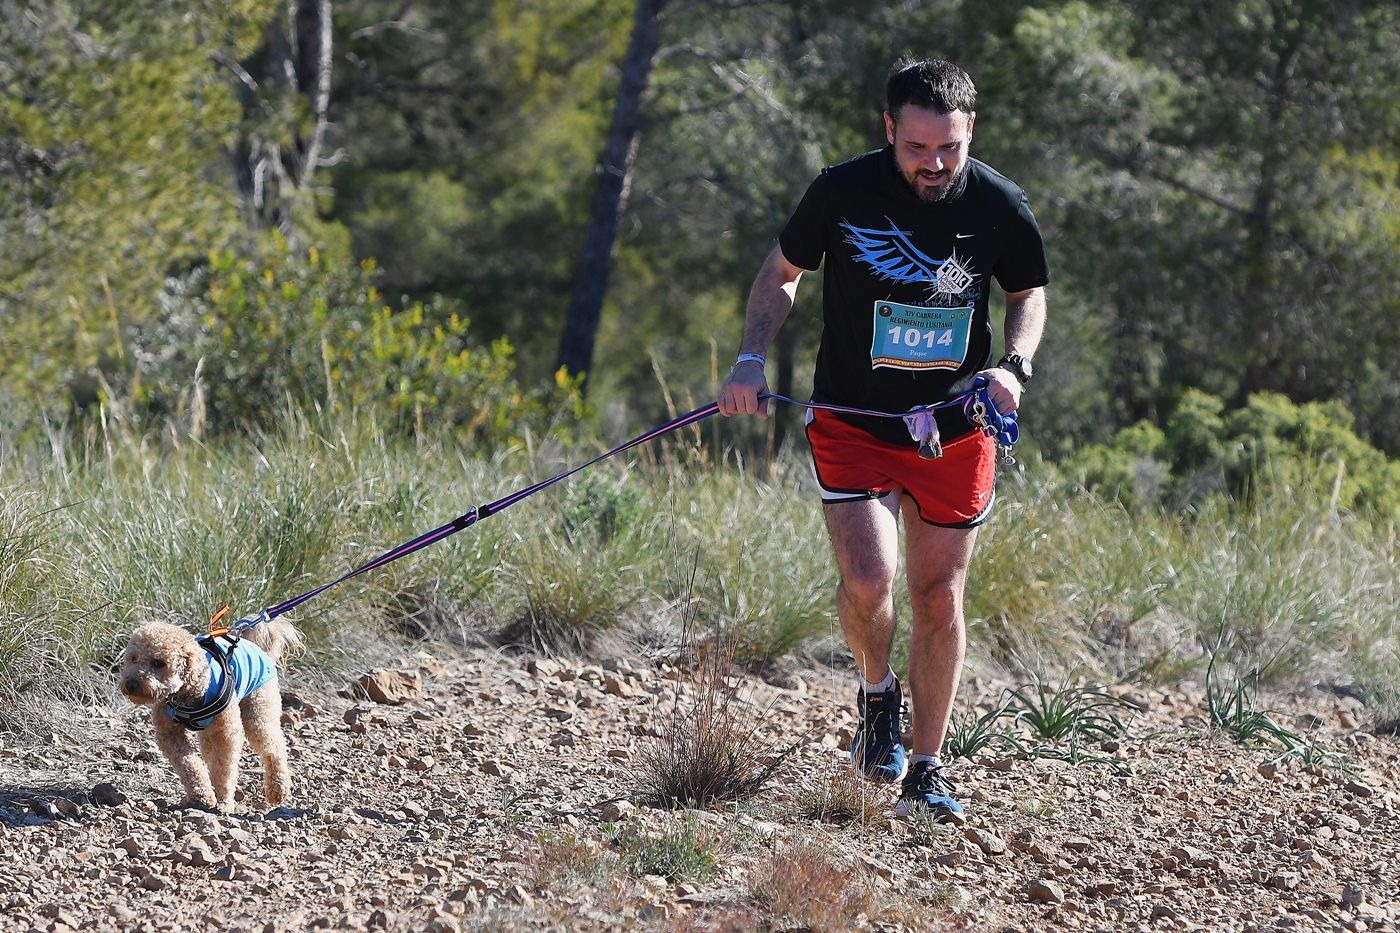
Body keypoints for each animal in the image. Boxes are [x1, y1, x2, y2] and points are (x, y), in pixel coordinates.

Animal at [119, 616, 302, 806]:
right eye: (133, 658)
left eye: (159, 663)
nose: (131, 684)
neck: (187, 695)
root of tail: (256, 646)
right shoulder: (169, 734)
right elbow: (189, 764)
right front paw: (201, 793)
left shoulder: (226, 734)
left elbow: (224, 769)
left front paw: (222, 800)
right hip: (209, 734)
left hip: (258, 713)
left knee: (275, 748)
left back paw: (278, 789)